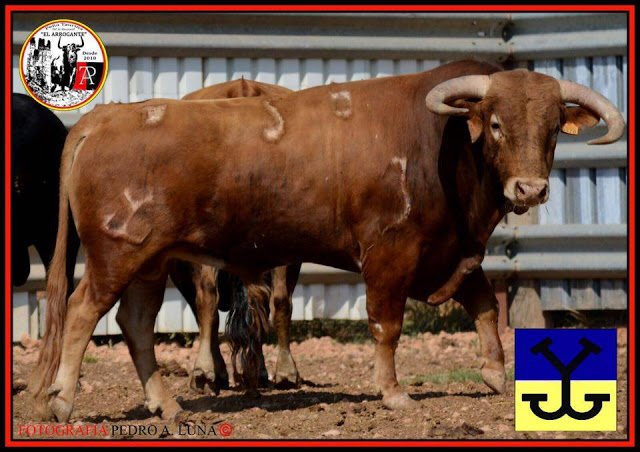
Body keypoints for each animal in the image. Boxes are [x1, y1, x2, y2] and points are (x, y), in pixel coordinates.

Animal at [29, 59, 624, 422]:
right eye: (496, 123)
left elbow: (482, 305)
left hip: (150, 262)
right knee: (83, 313)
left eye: (553, 128)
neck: (445, 143)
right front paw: (394, 393)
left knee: (134, 323)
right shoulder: (391, 254)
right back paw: (62, 401)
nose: (530, 188)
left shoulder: (452, 251)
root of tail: (107, 119)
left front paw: (496, 374)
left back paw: (167, 405)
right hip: (116, 255)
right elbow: (387, 325)